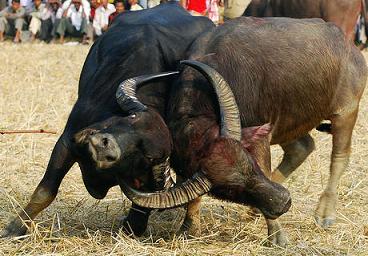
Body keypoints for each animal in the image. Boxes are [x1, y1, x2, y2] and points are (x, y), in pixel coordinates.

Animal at [0, 2, 214, 238]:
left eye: (148, 156)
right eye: (129, 119)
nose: (102, 146)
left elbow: (144, 203)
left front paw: (133, 226)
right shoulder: (67, 141)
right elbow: (46, 190)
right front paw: (15, 227)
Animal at [119, 17, 366, 247]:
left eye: (250, 163)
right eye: (228, 190)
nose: (284, 202)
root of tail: (349, 46)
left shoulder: (261, 138)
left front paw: (277, 235)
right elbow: (192, 199)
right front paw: (188, 228)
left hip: (346, 111)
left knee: (339, 157)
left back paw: (325, 213)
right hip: (291, 119)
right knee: (302, 147)